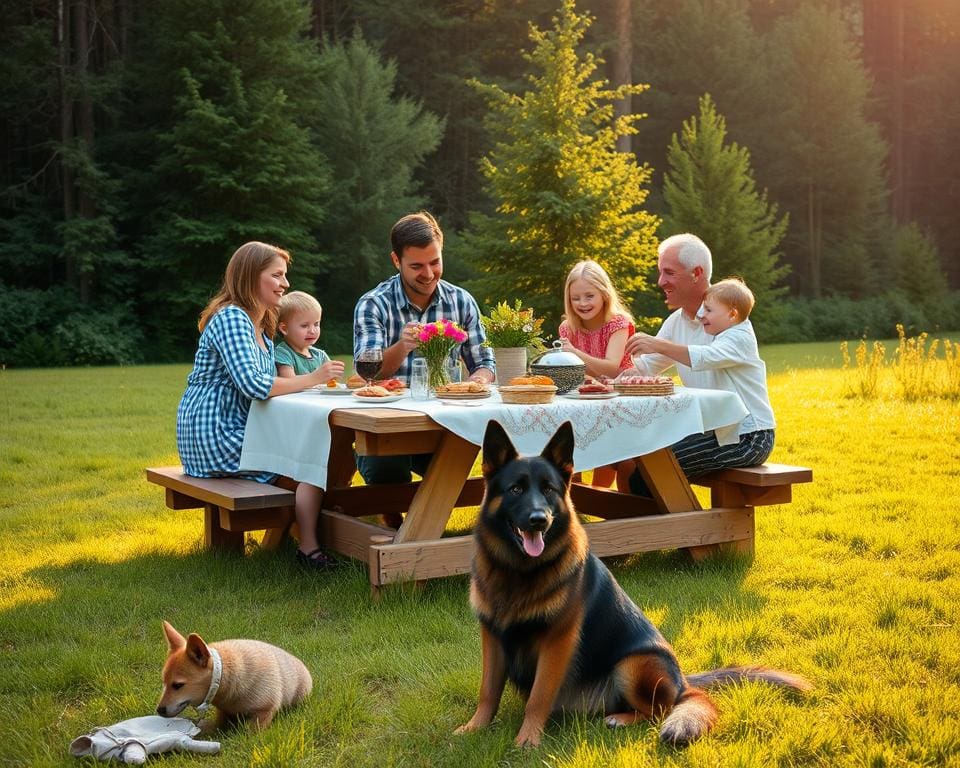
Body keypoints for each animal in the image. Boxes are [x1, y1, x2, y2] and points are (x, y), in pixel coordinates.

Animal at [156, 620, 310, 728]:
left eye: (178, 685)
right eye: (164, 683)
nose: (159, 710)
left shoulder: (265, 711)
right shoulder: (223, 713)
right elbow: (216, 726)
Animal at [458, 424, 808, 748]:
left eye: (549, 490)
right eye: (516, 489)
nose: (539, 520)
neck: (518, 573)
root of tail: (683, 681)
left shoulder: (556, 642)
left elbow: (538, 697)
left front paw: (527, 740)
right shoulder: (492, 637)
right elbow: (487, 691)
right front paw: (475, 728)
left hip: (633, 664)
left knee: (661, 710)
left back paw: (621, 718)